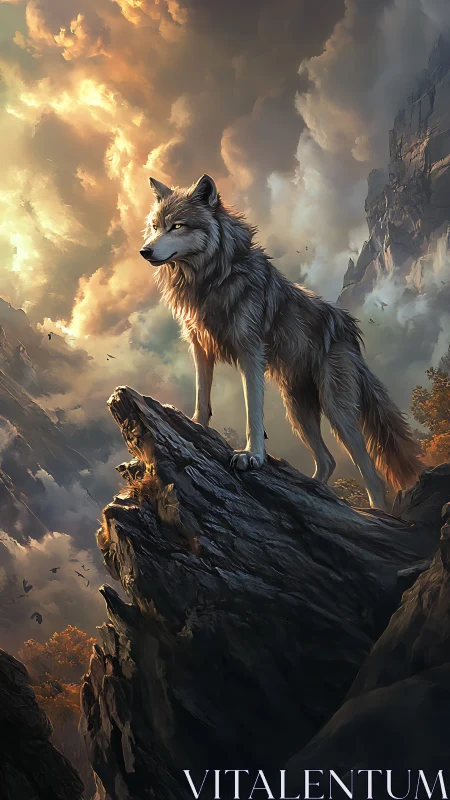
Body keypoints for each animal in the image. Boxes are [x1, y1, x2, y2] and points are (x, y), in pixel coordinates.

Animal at [140, 173, 422, 510]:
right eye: (155, 226)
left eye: (178, 226)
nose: (144, 251)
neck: (211, 278)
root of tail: (350, 332)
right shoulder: (200, 346)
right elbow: (201, 395)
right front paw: (196, 425)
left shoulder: (250, 352)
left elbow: (253, 411)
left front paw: (252, 456)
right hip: (297, 409)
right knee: (328, 461)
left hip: (336, 411)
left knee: (373, 476)